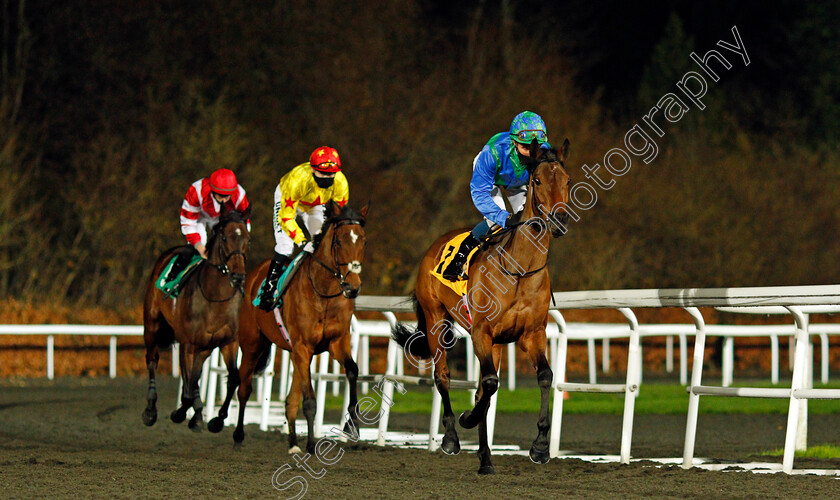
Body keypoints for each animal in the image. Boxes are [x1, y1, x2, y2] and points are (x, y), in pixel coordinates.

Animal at [141, 205, 249, 432]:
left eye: (247, 238)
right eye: (224, 238)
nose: (238, 276)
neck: (216, 297)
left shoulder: (229, 342)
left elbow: (233, 379)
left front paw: (217, 420)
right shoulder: (188, 343)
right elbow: (189, 387)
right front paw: (180, 413)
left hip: (204, 346)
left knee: (195, 374)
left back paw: (198, 413)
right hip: (152, 325)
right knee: (153, 361)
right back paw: (151, 411)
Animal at [235, 200, 370, 454]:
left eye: (363, 241)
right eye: (339, 241)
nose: (352, 286)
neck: (324, 294)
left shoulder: (336, 342)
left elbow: (352, 370)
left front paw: (351, 425)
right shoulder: (303, 346)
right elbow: (309, 401)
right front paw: (311, 444)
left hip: (293, 353)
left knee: (290, 400)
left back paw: (292, 444)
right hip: (252, 345)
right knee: (244, 388)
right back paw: (236, 433)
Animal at [394, 140, 572, 472]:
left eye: (567, 180)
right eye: (538, 180)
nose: (559, 221)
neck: (519, 270)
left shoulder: (532, 333)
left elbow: (543, 376)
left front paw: (540, 447)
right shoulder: (481, 332)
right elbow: (488, 385)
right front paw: (467, 419)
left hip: (498, 342)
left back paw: (486, 458)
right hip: (437, 320)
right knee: (443, 376)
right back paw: (452, 439)